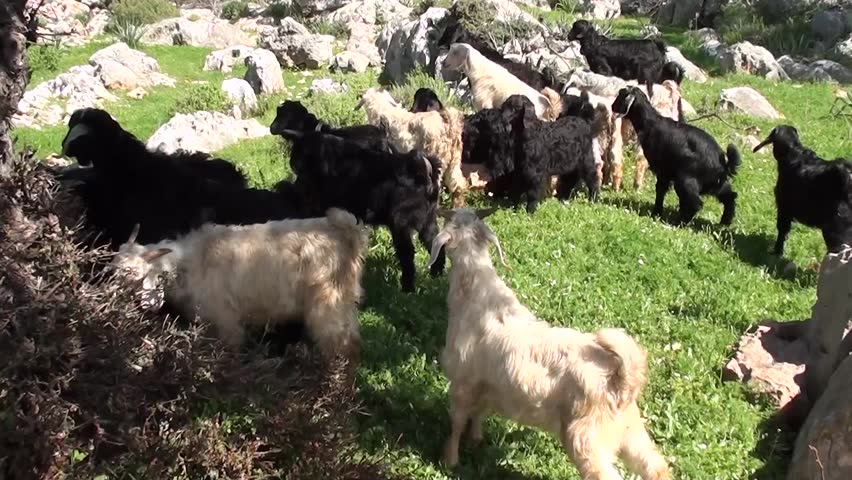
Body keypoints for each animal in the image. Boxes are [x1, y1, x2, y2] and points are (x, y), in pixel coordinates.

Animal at [111, 209, 367, 359]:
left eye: (134, 277)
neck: (192, 262)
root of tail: (346, 232)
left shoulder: (227, 321)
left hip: (328, 304)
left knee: (341, 345)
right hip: (344, 303)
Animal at [275, 127, 443, 293]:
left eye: (299, 159)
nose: (294, 167)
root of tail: (423, 169)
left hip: (400, 224)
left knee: (407, 253)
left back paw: (407, 288)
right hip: (428, 221)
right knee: (434, 241)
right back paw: (436, 274)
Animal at [428, 208, 671, 480]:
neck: (476, 294)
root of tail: (621, 378)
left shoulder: (462, 380)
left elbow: (457, 421)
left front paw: (449, 460)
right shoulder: (488, 385)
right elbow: (479, 413)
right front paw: (476, 441)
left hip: (587, 436)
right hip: (629, 429)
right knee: (656, 466)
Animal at [612, 87, 740, 225]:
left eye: (621, 94)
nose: (612, 106)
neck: (650, 124)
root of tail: (722, 163)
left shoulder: (663, 170)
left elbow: (660, 190)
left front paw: (656, 212)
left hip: (685, 180)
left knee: (696, 203)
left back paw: (680, 222)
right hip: (718, 184)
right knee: (730, 196)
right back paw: (725, 221)